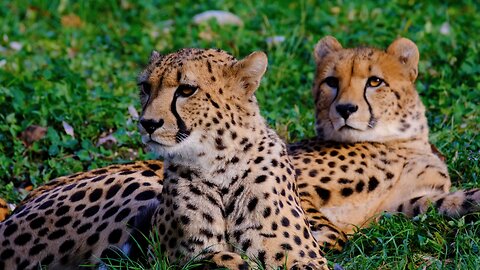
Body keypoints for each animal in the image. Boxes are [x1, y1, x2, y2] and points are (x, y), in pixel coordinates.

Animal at [124, 49, 326, 270]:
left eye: (186, 90)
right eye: (146, 87)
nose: (148, 123)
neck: (219, 164)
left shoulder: (308, 258)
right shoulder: (164, 258)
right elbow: (217, 258)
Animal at [286, 35, 478, 249]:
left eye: (375, 81)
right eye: (331, 82)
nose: (345, 108)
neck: (402, 141)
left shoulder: (404, 204)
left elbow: (460, 199)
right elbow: (319, 231)